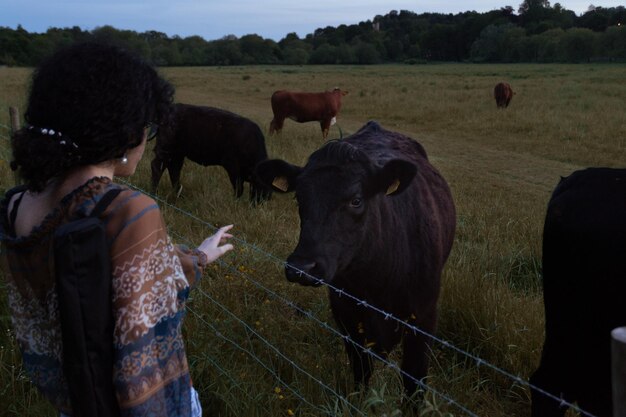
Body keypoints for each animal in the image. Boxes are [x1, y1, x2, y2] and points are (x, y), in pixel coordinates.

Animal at [252, 119, 454, 396]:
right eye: (298, 197)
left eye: (356, 200)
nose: (302, 267)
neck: (378, 280)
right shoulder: (345, 311)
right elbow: (361, 367)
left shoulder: (423, 318)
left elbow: (413, 379)